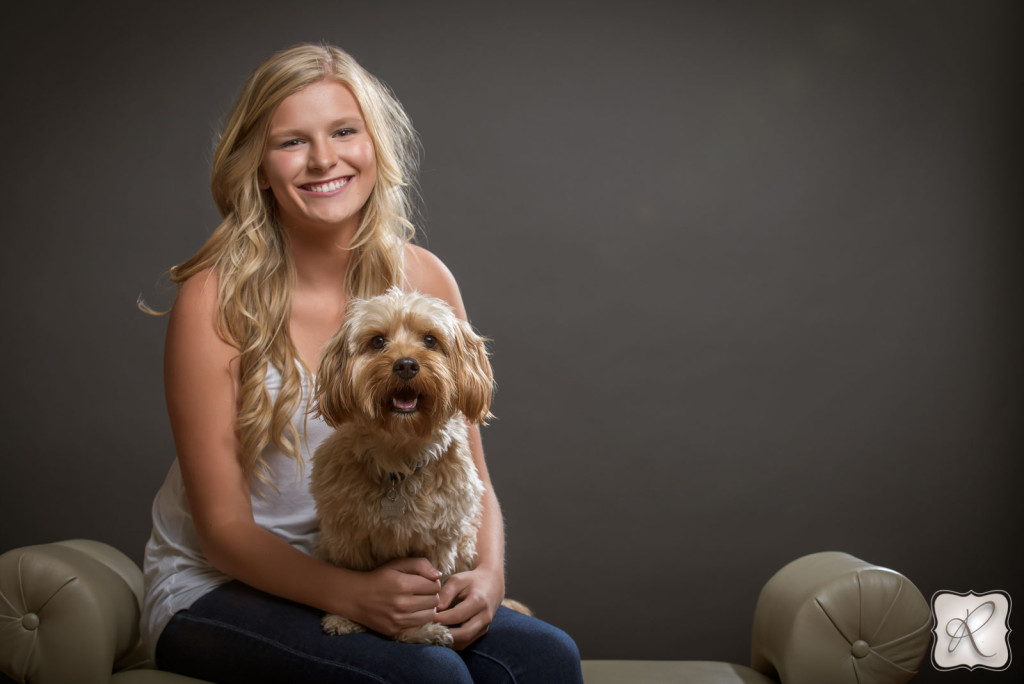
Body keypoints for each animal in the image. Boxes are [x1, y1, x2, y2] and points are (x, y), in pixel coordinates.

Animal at [313, 288, 497, 647]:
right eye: (377, 341)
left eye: (430, 340)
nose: (406, 364)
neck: (399, 455)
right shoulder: (346, 534)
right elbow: (350, 577)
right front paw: (344, 618)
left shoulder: (438, 543)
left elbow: (429, 595)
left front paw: (419, 630)